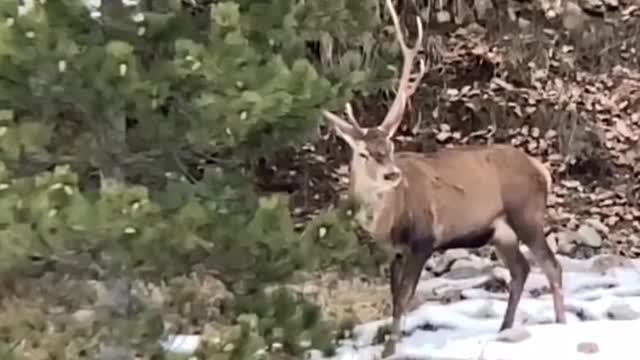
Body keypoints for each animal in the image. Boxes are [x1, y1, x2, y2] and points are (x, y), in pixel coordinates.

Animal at [322, 0, 568, 356]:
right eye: (364, 153)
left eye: (390, 145)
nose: (391, 173)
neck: (388, 220)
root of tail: (542, 170)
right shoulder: (393, 251)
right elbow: (394, 298)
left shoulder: (424, 239)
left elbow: (404, 297)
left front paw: (391, 349)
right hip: (500, 231)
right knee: (521, 269)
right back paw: (504, 328)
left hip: (526, 214)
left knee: (551, 265)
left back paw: (561, 325)